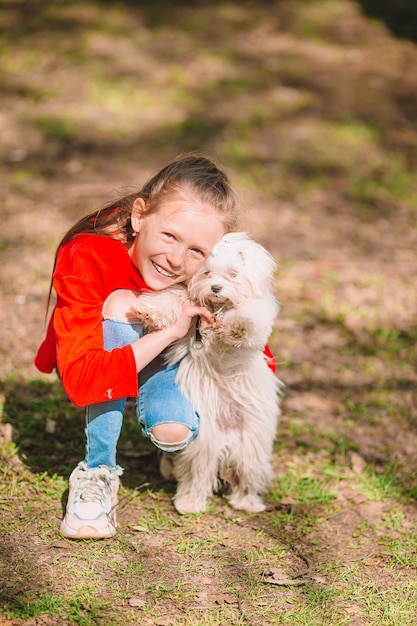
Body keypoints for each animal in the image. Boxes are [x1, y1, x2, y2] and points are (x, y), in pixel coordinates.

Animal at [135, 232, 282, 510]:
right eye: (206, 273)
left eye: (233, 274)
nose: (215, 288)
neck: (217, 307)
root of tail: (226, 443)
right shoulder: (187, 304)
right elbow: (171, 299)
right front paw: (148, 311)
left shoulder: (256, 314)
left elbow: (247, 315)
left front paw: (238, 326)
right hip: (202, 445)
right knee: (198, 475)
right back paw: (190, 503)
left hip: (251, 447)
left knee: (246, 477)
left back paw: (246, 503)